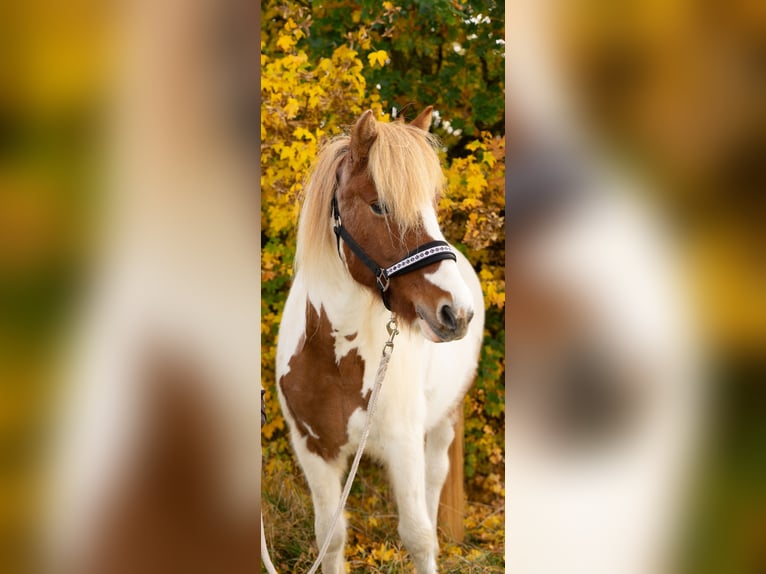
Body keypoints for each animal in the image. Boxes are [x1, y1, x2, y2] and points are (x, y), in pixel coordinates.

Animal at [274, 108, 484, 574]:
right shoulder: (314, 449)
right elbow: (330, 538)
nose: (456, 313)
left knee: (434, 481)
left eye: (431, 205)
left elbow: (419, 537)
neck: (338, 359)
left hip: (443, 421)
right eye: (379, 205)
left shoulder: (403, 442)